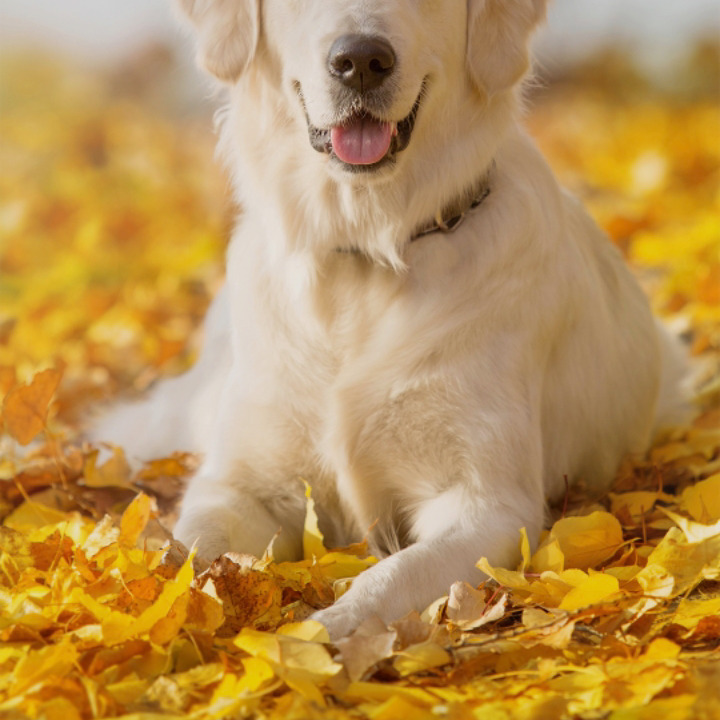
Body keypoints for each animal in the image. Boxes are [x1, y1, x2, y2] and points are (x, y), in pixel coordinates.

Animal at [94, 1, 688, 640]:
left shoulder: (488, 505)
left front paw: (326, 636)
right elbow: (187, 549)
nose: (361, 62)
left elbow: (392, 576)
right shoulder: (244, 484)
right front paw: (160, 606)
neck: (366, 252)